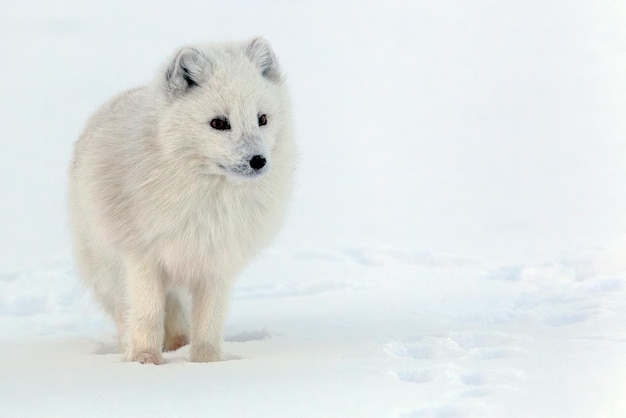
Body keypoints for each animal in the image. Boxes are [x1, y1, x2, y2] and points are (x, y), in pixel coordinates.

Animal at [68, 38, 294, 362]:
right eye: (219, 123)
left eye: (262, 119)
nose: (258, 161)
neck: (209, 201)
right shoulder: (143, 259)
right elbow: (148, 315)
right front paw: (145, 361)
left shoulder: (217, 264)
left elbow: (209, 323)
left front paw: (206, 363)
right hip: (107, 269)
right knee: (129, 312)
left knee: (176, 311)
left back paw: (179, 343)